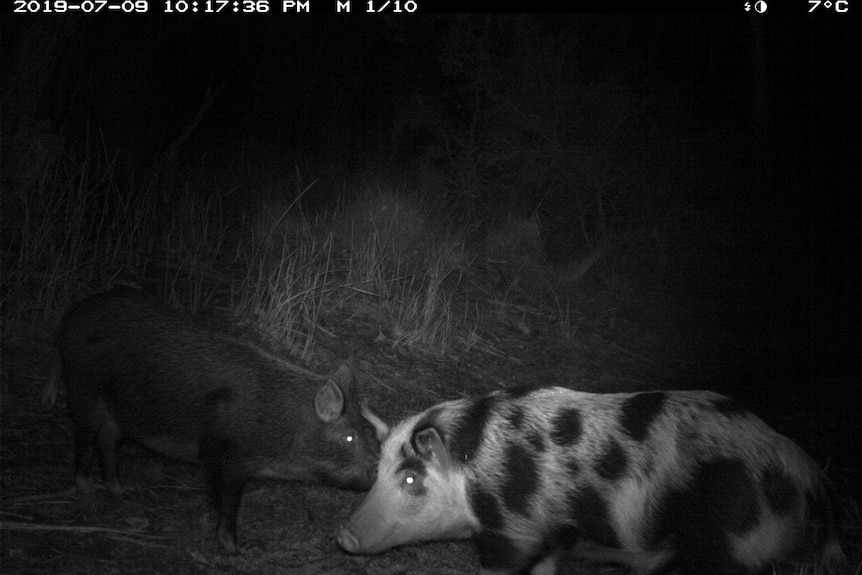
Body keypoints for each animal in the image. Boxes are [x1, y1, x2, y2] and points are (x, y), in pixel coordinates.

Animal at [53, 288, 388, 552]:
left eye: (368, 431)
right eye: (349, 437)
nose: (379, 469)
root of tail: (75, 311)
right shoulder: (223, 456)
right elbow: (228, 504)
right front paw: (238, 549)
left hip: (117, 406)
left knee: (108, 437)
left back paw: (123, 493)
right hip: (81, 383)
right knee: (84, 433)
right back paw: (88, 492)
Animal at [340, 388, 852, 575]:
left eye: (411, 479)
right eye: (378, 471)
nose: (344, 535)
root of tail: (811, 476)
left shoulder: (512, 529)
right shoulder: (556, 531)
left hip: (730, 547)